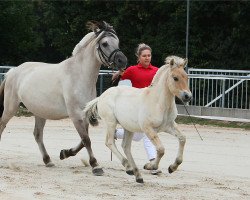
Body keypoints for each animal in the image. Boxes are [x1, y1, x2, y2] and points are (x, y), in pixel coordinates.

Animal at [0, 21, 127, 176]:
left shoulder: (84, 116)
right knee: (2, 125)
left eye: (117, 42)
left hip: (39, 112)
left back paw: (48, 160)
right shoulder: (75, 115)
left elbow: (83, 141)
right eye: (104, 43)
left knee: (37, 134)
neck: (79, 75)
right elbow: (86, 140)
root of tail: (12, 71)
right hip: (10, 108)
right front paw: (96, 166)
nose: (122, 61)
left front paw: (65, 153)